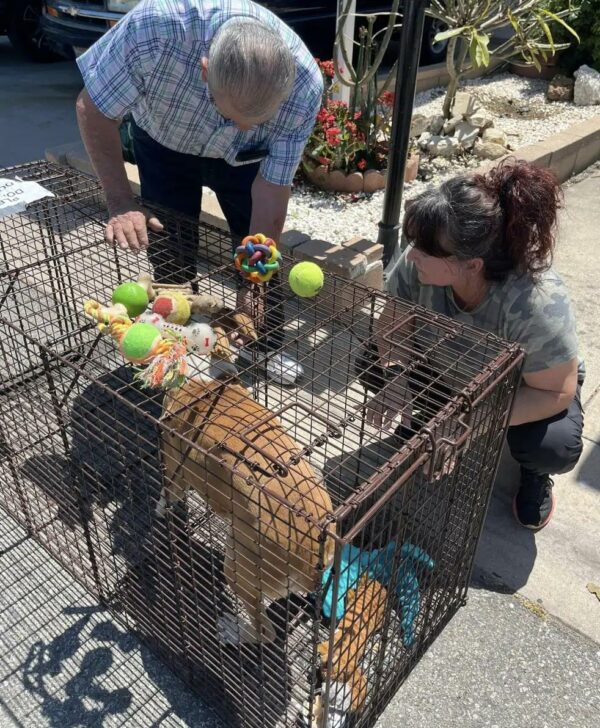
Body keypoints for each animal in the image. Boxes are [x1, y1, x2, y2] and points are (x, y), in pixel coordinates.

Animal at [159, 372, 338, 644]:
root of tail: (312, 561)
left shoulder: (174, 472)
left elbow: (165, 494)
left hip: (237, 566)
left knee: (265, 632)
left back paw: (233, 631)